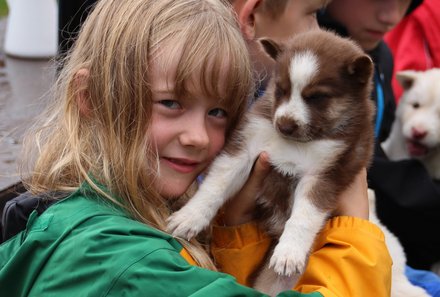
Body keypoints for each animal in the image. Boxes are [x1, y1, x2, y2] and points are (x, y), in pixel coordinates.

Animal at [168, 30, 374, 294]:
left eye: (316, 97)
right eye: (280, 89)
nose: (284, 124)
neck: (298, 143)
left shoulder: (327, 171)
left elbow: (304, 216)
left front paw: (289, 253)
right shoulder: (245, 145)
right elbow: (215, 185)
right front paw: (189, 217)